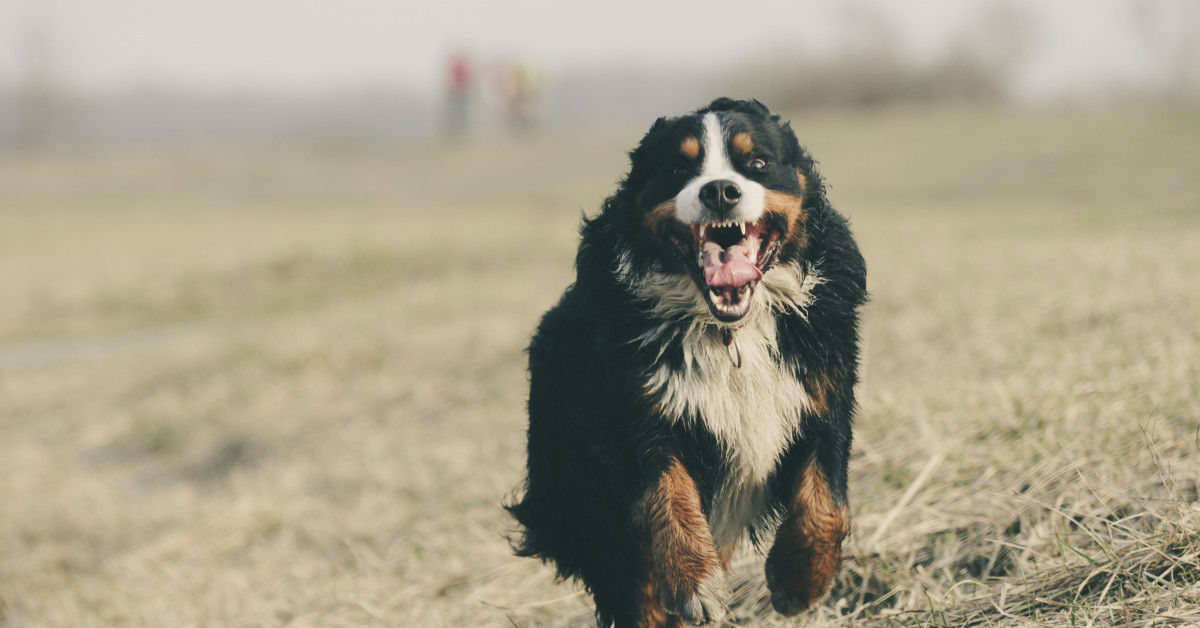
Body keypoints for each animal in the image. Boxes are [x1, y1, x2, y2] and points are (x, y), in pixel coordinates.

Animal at [504, 98, 864, 628]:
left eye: (757, 162)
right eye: (679, 168)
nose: (719, 190)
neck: (730, 332)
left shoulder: (823, 392)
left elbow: (828, 501)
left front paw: (799, 580)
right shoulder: (639, 411)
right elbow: (668, 494)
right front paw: (696, 582)